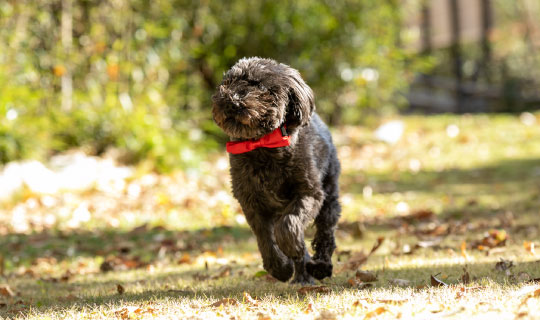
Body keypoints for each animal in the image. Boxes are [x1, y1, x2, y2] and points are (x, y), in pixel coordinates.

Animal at [213, 57, 340, 284]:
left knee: (326, 231)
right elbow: (264, 238)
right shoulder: (251, 202)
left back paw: (319, 267)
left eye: (261, 86)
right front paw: (280, 268)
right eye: (229, 82)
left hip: (329, 194)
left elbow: (288, 225)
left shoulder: (309, 193)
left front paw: (293, 248)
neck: (262, 144)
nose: (231, 100)